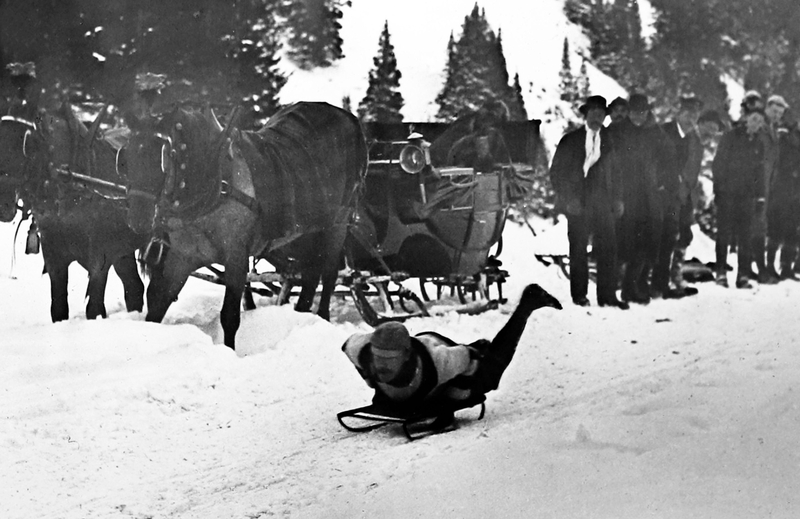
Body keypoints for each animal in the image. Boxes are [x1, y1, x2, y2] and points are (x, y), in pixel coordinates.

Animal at [0, 104, 146, 322]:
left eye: (22, 153)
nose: (2, 205)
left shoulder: (100, 258)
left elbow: (94, 308)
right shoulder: (54, 256)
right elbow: (58, 308)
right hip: (124, 250)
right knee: (134, 287)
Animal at [125, 101, 368, 350]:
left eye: (164, 155)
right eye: (125, 156)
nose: (137, 219)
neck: (215, 181)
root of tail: (347, 116)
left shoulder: (236, 257)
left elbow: (230, 315)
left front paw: (228, 352)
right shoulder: (183, 256)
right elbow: (158, 302)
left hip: (338, 222)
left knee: (329, 274)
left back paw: (322, 317)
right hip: (306, 228)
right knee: (310, 272)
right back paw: (301, 315)